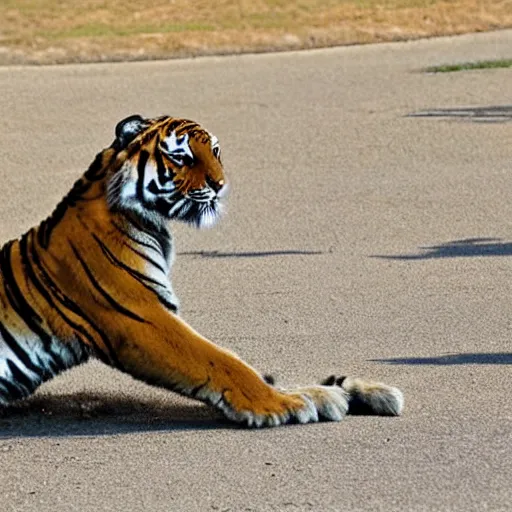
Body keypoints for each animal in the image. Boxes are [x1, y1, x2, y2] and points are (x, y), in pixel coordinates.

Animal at [0, 115, 404, 428]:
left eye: (216, 151)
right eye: (182, 156)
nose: (220, 185)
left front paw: (344, 393)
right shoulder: (141, 318)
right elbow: (224, 361)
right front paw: (282, 405)